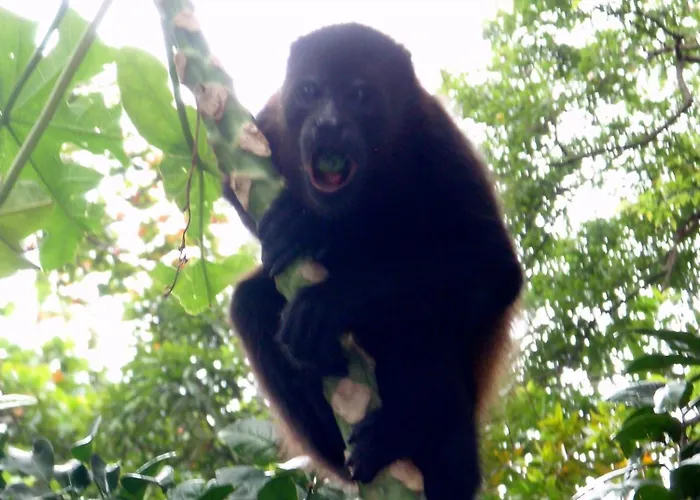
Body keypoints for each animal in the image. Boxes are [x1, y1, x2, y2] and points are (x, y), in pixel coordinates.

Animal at [224, 23, 524, 499]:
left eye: (360, 95)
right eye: (309, 91)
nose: (328, 122)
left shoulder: (433, 139)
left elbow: (492, 265)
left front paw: (326, 280)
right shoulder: (268, 123)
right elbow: (233, 186)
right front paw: (303, 226)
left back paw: (406, 430)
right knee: (251, 303)